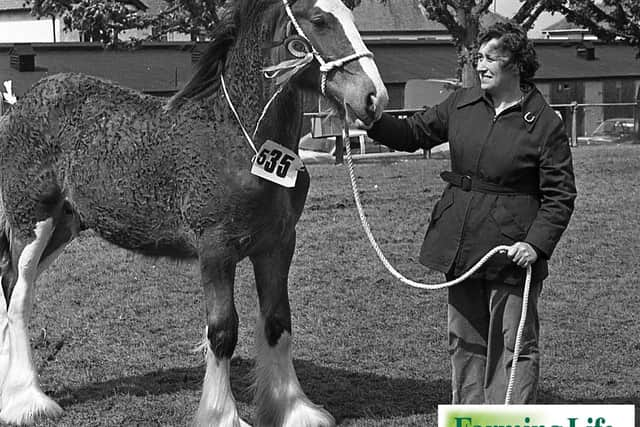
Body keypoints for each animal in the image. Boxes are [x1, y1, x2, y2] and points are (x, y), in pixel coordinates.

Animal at [0, 0, 388, 424]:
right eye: (318, 20)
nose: (374, 97)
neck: (240, 139)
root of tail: (19, 107)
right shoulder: (216, 249)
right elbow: (221, 332)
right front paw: (223, 414)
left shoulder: (278, 245)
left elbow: (277, 323)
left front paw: (294, 408)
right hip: (32, 222)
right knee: (19, 298)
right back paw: (28, 402)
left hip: (63, 227)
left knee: (8, 284)